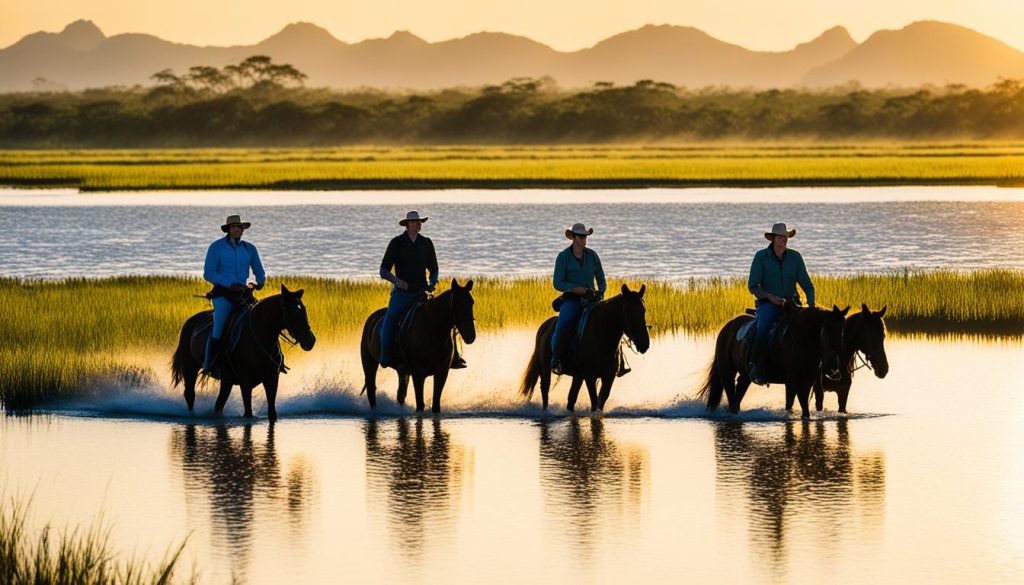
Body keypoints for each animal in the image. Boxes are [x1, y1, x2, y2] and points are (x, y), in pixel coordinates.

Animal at [169, 286, 313, 424]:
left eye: (304, 309)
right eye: (291, 312)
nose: (310, 340)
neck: (260, 335)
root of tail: (189, 322)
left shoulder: (272, 380)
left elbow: (272, 413)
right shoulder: (245, 382)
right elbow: (248, 413)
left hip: (226, 380)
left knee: (219, 404)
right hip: (190, 368)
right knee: (190, 394)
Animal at [360, 280, 475, 413]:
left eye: (471, 302)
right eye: (457, 304)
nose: (471, 335)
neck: (432, 328)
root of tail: (371, 318)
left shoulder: (442, 372)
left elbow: (436, 406)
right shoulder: (418, 374)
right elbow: (420, 404)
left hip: (402, 370)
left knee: (400, 394)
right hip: (369, 362)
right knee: (371, 389)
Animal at [696, 305, 847, 418]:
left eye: (842, 332)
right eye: (827, 331)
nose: (833, 367)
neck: (800, 338)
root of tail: (726, 328)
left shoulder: (806, 381)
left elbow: (796, 406)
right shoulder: (793, 381)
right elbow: (799, 406)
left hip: (745, 377)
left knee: (737, 397)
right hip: (727, 373)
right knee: (732, 399)